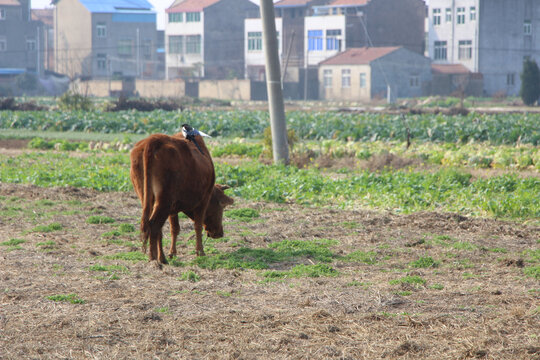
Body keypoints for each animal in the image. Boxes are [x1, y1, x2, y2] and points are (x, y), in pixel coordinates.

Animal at [131, 131, 234, 262]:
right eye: (222, 207)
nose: (219, 233)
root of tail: (154, 139)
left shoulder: (172, 209)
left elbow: (174, 229)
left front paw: (172, 252)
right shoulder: (203, 201)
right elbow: (198, 226)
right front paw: (200, 252)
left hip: (148, 199)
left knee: (156, 228)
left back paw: (161, 257)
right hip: (164, 202)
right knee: (154, 226)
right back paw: (155, 258)